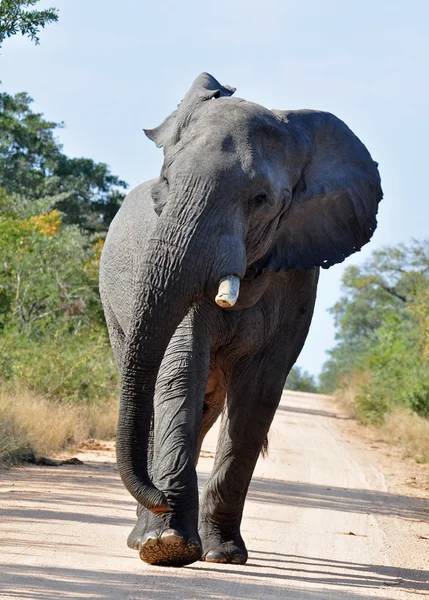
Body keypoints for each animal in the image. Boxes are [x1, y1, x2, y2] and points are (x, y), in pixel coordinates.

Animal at [98, 74, 382, 568]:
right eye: (167, 182)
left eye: (260, 199)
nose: (160, 499)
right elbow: (179, 373)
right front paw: (168, 546)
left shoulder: (297, 278)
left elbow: (258, 395)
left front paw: (223, 554)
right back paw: (144, 536)